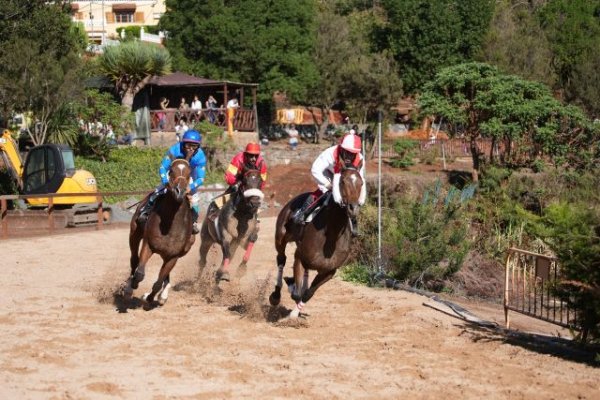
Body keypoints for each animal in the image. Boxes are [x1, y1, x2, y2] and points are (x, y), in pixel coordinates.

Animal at [123, 158, 195, 304]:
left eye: (189, 173)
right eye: (171, 170)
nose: (179, 191)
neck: (169, 226)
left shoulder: (173, 256)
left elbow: (158, 282)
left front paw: (149, 297)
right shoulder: (148, 244)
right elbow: (140, 273)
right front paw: (133, 285)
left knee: (165, 276)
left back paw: (163, 295)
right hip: (134, 233)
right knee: (134, 259)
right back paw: (128, 288)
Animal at [270, 164, 364, 318]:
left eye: (361, 183)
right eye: (342, 182)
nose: (353, 208)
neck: (331, 237)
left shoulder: (329, 272)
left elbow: (308, 294)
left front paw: (295, 313)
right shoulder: (299, 257)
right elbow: (297, 294)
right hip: (281, 238)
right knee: (281, 259)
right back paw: (276, 295)